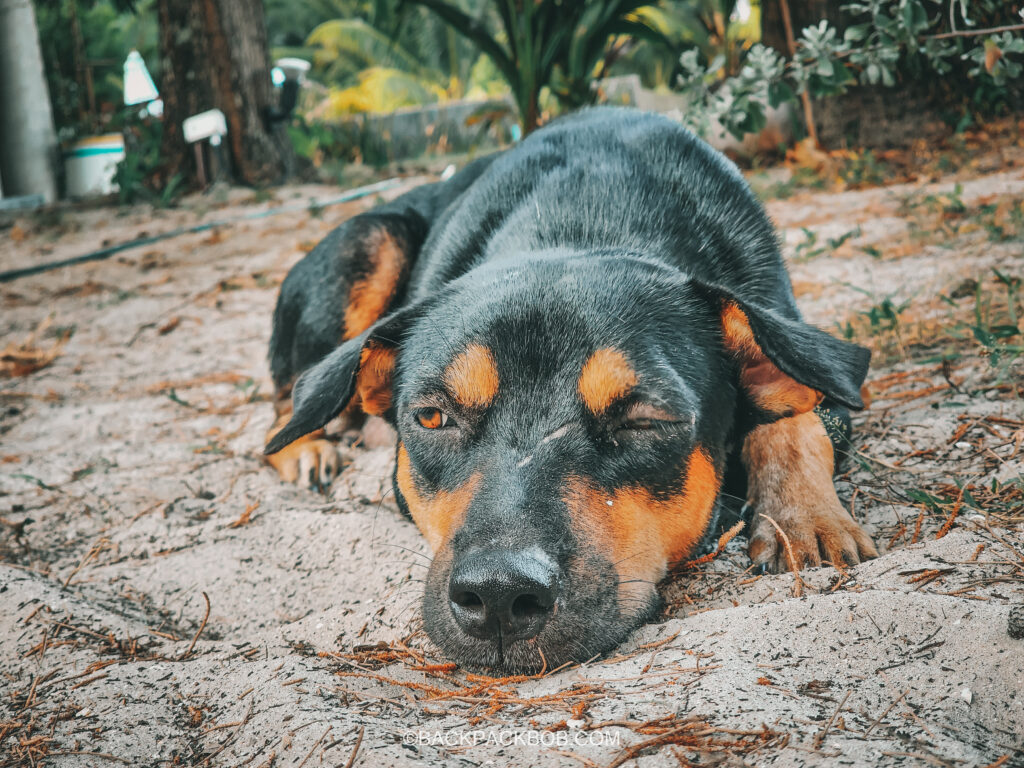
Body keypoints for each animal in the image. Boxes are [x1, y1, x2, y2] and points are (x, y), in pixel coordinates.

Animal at [260, 108, 876, 671]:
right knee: (290, 401)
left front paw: (805, 515)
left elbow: (797, 422)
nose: (498, 595)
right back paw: (307, 449)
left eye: (644, 421)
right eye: (433, 417)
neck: (582, 225)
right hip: (370, 241)